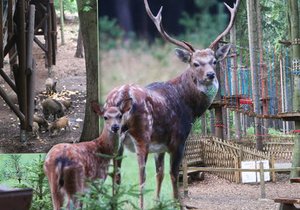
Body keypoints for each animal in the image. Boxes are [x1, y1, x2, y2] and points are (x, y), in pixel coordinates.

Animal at [104, 0, 240, 208]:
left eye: (214, 61)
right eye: (195, 63)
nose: (210, 75)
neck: (190, 107)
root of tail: (123, 94)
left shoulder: (159, 146)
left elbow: (159, 174)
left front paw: (158, 202)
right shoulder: (178, 138)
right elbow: (173, 174)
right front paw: (178, 203)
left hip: (115, 136)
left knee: (116, 175)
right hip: (142, 134)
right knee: (140, 176)